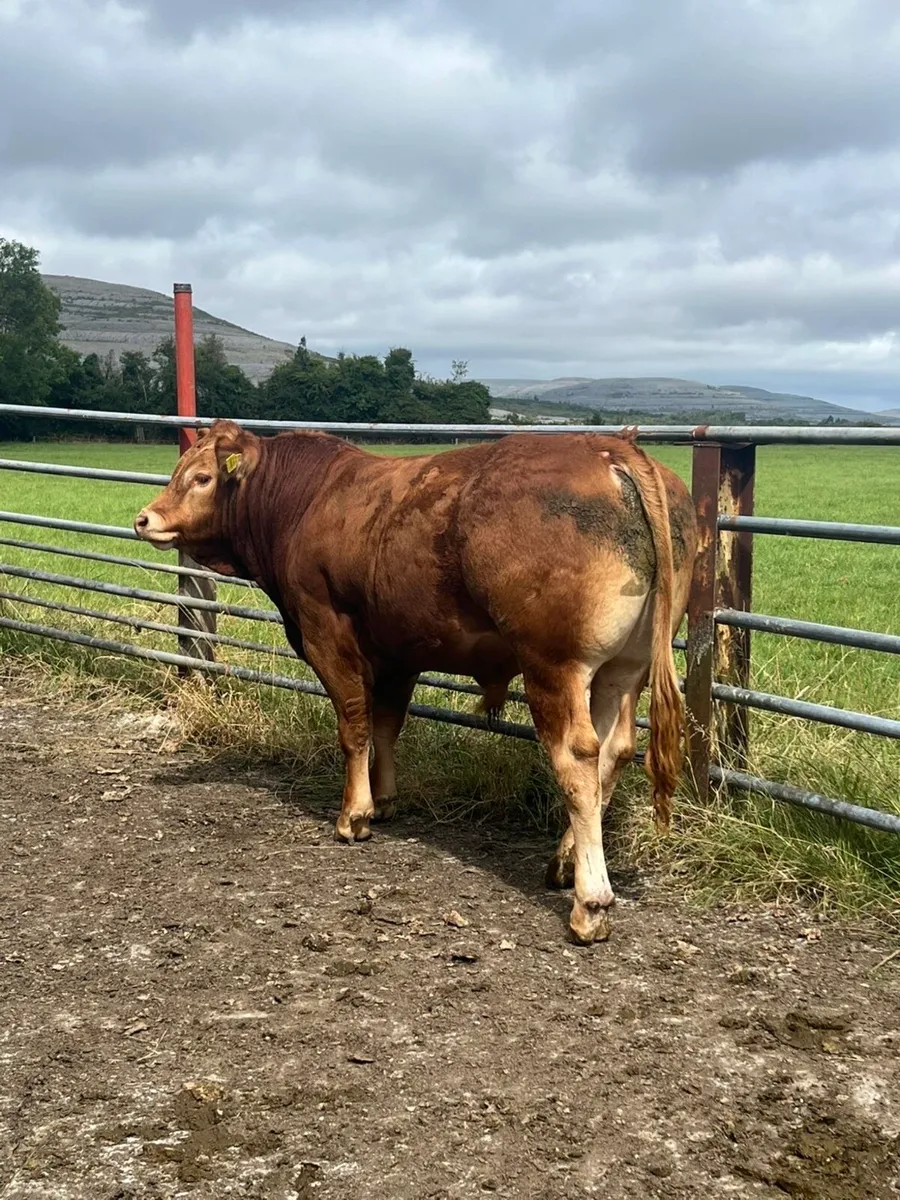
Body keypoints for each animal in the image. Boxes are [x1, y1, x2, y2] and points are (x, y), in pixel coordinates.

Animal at [134, 421, 698, 945]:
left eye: (202, 478)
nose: (145, 518)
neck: (304, 499)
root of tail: (608, 446)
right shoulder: (397, 652)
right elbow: (386, 723)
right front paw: (384, 800)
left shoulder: (324, 632)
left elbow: (355, 725)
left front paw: (354, 814)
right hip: (622, 669)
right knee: (612, 752)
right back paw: (563, 862)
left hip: (555, 665)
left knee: (578, 760)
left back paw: (590, 902)